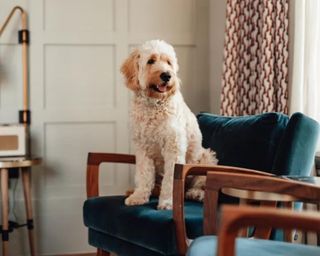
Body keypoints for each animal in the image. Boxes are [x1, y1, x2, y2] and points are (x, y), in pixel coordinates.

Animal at [120, 39, 218, 209]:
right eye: (151, 61)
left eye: (168, 62)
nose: (166, 75)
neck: (154, 104)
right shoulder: (143, 148)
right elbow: (144, 175)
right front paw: (139, 196)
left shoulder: (174, 147)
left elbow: (170, 179)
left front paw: (166, 202)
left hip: (207, 157)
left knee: (199, 184)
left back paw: (195, 193)